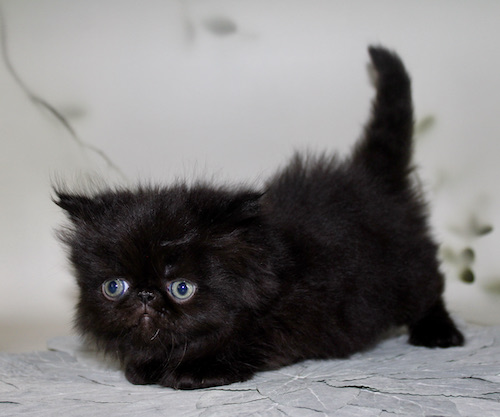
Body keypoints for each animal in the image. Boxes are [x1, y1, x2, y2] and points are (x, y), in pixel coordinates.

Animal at [55, 46, 464, 390]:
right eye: (114, 287)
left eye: (182, 288)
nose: (144, 296)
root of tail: (372, 178)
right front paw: (144, 366)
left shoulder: (288, 319)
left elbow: (241, 343)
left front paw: (194, 370)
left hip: (405, 270)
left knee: (430, 290)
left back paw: (439, 333)